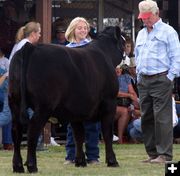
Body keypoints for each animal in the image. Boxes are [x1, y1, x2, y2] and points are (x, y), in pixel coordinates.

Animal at [8, 26, 125, 173]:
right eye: (124, 42)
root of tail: (31, 47)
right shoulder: (110, 103)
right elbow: (107, 133)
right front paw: (112, 161)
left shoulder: (75, 111)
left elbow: (78, 135)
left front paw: (80, 161)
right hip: (43, 106)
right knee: (32, 131)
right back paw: (32, 165)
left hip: (14, 102)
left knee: (16, 131)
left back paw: (17, 166)